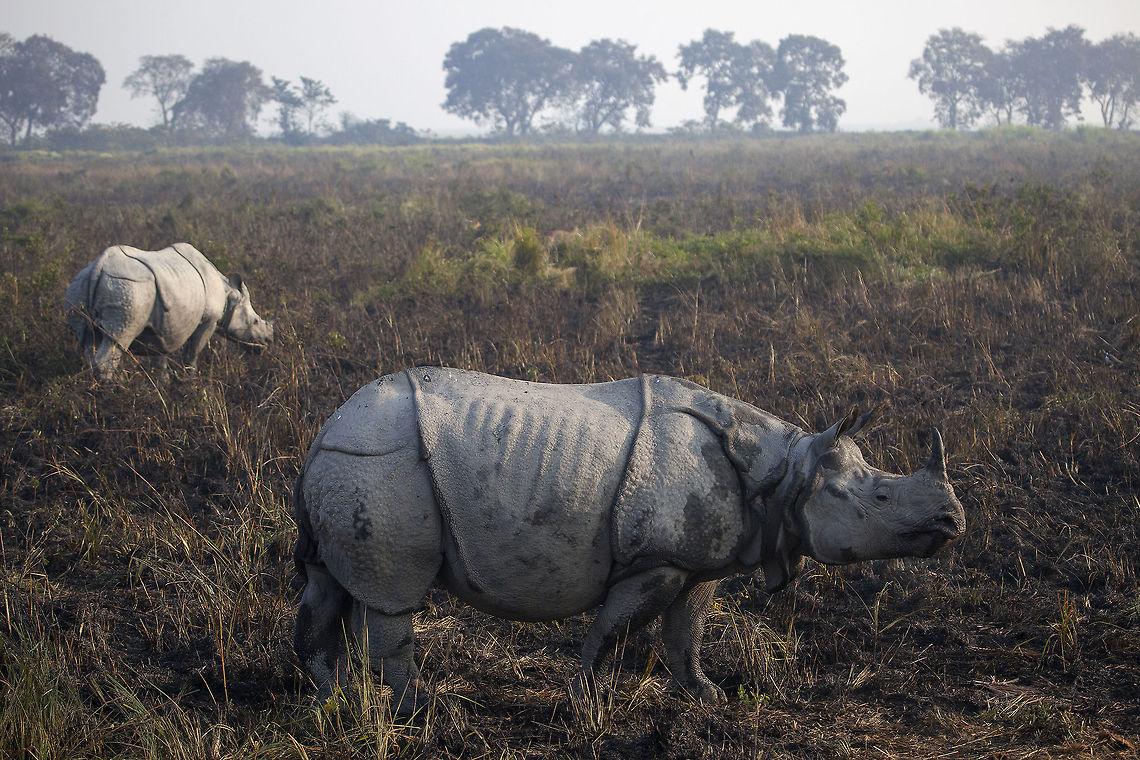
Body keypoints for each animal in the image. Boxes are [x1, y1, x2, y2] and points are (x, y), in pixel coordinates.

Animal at [64, 243, 274, 382]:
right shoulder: (209, 320)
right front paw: (190, 382)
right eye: (255, 322)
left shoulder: (162, 328)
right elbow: (192, 353)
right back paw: (112, 390)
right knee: (118, 337)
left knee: (88, 340)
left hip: (78, 287)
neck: (228, 293)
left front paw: (162, 383)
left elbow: (160, 355)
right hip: (128, 289)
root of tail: (97, 266)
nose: (267, 342)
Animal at [293, 367, 965, 714]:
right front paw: (584, 700)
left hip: (350, 463)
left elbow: (686, 631)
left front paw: (707, 697)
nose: (953, 522)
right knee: (391, 597)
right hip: (382, 465)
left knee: (327, 586)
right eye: (880, 499)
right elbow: (615, 629)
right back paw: (424, 708)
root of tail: (324, 431)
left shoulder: (695, 563)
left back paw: (327, 697)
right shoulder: (656, 561)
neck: (786, 475)